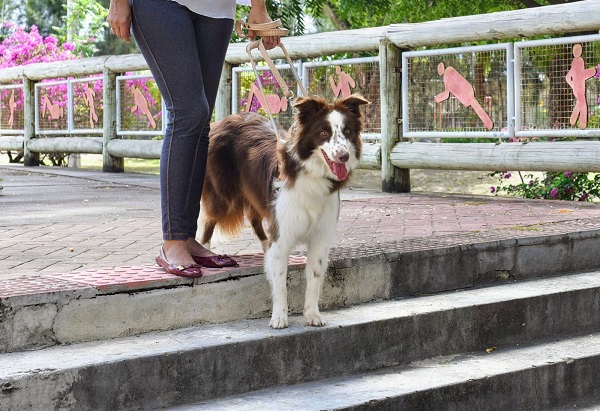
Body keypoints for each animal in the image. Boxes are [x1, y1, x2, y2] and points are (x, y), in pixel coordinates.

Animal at [200, 94, 370, 328]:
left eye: (347, 131)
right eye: (324, 133)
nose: (343, 156)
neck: (312, 175)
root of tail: (226, 120)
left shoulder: (321, 236)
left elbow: (315, 278)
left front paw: (312, 314)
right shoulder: (283, 233)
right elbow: (280, 280)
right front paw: (279, 317)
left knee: (254, 219)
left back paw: (264, 247)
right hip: (222, 196)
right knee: (209, 221)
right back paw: (205, 251)